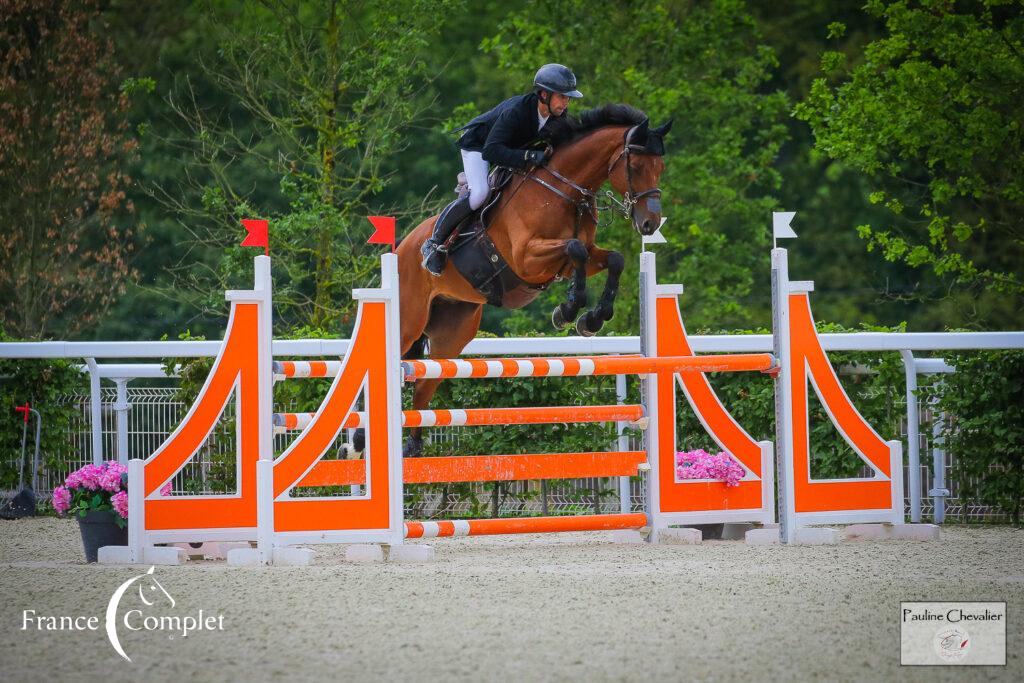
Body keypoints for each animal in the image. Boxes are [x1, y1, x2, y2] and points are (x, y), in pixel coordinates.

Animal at [360, 105, 671, 458]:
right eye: (636, 165)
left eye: (660, 167)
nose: (650, 224)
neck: (565, 190)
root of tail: (401, 248)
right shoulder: (526, 259)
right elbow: (574, 249)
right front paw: (568, 310)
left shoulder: (579, 258)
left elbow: (612, 258)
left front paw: (591, 319)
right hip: (408, 321)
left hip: (451, 333)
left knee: (425, 383)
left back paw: (412, 446)